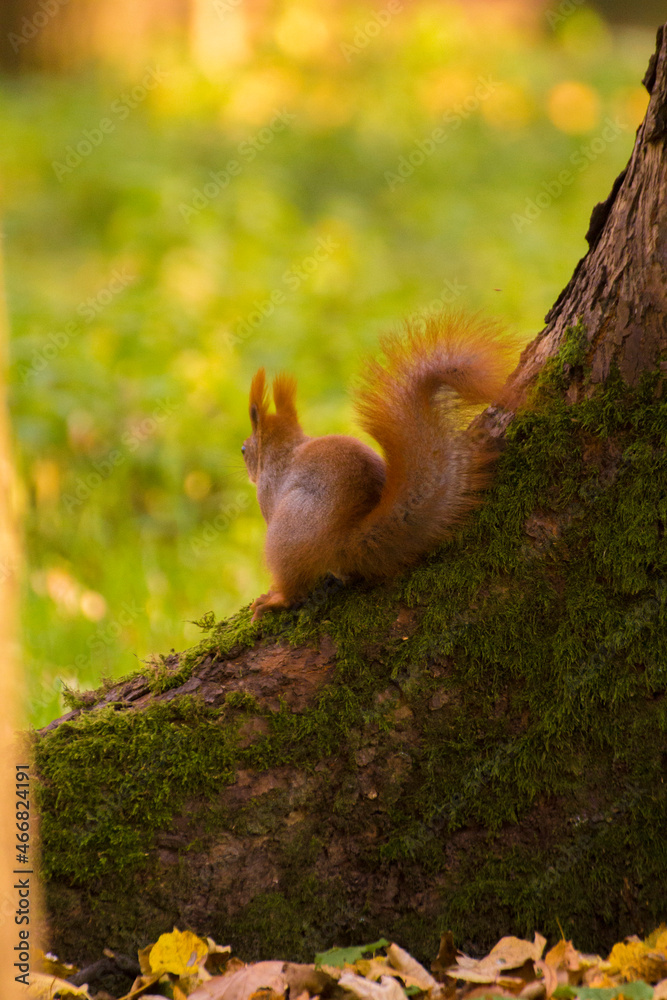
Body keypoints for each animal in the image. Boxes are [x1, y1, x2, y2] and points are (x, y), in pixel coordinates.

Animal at [242, 311, 516, 620]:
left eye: (243, 449)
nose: (247, 468)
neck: (284, 449)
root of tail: (344, 540)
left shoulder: (268, 493)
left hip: (285, 536)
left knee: (295, 589)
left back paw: (276, 599)